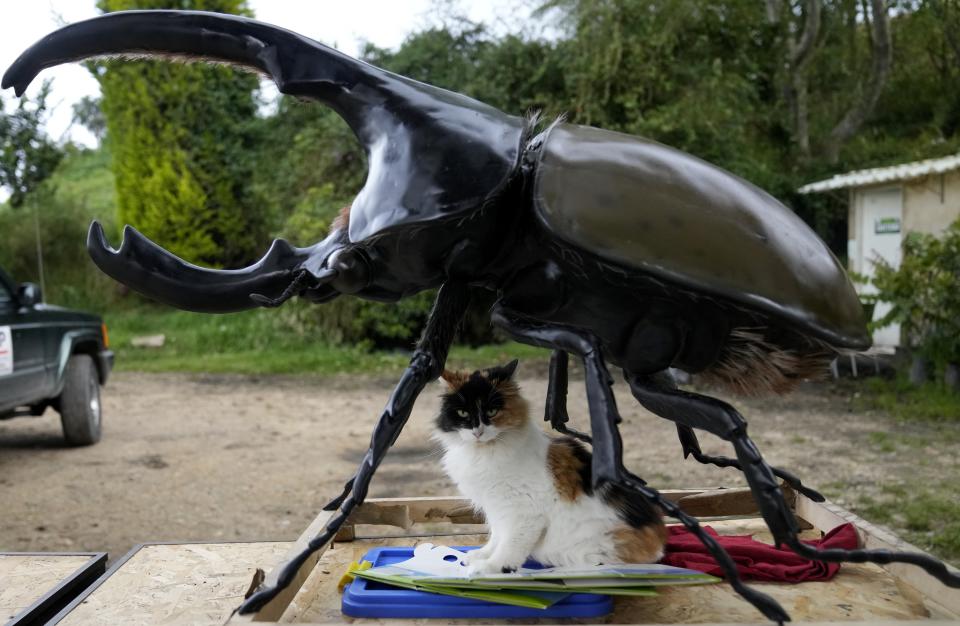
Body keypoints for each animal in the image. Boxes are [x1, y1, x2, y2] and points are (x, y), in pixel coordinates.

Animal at [436, 358, 668, 572]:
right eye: (463, 413)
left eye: (492, 411)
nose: (478, 432)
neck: (482, 453)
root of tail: (658, 544)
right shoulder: (495, 507)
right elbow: (496, 536)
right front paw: (480, 556)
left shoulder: (523, 510)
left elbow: (509, 544)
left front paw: (492, 567)